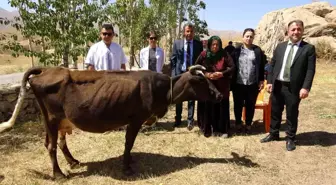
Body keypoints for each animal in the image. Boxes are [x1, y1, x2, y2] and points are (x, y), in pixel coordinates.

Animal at [0, 65, 223, 179]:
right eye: (202, 80)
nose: (220, 95)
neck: (160, 90)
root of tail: (48, 69)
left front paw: (129, 162)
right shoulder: (136, 119)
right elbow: (128, 143)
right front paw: (127, 167)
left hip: (61, 120)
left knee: (59, 143)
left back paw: (73, 161)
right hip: (52, 118)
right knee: (51, 145)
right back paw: (59, 174)